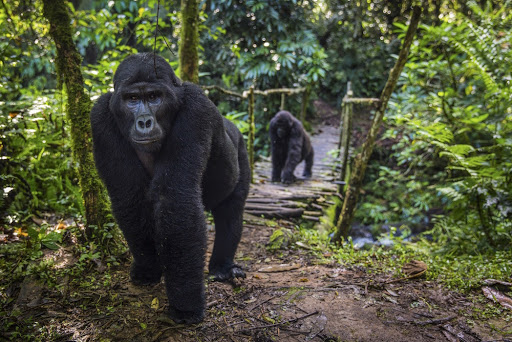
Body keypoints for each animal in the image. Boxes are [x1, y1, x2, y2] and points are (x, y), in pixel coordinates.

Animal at [89, 52, 250, 324]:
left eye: (154, 97)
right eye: (132, 99)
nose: (144, 122)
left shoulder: (196, 109)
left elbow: (175, 200)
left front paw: (185, 305)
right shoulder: (100, 115)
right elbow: (130, 196)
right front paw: (148, 268)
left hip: (241, 147)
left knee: (231, 212)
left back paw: (221, 266)